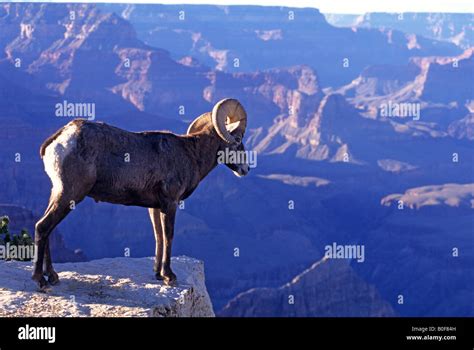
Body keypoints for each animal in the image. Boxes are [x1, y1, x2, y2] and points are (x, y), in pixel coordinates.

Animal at [33, 98, 248, 288]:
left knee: (47, 228)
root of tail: (59, 140)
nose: (245, 169)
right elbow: (168, 236)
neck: (191, 155)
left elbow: (158, 236)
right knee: (43, 227)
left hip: (58, 193)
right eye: (237, 140)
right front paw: (170, 276)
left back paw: (53, 276)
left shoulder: (155, 207)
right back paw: (41, 280)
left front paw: (158, 275)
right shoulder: (170, 203)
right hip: (70, 194)